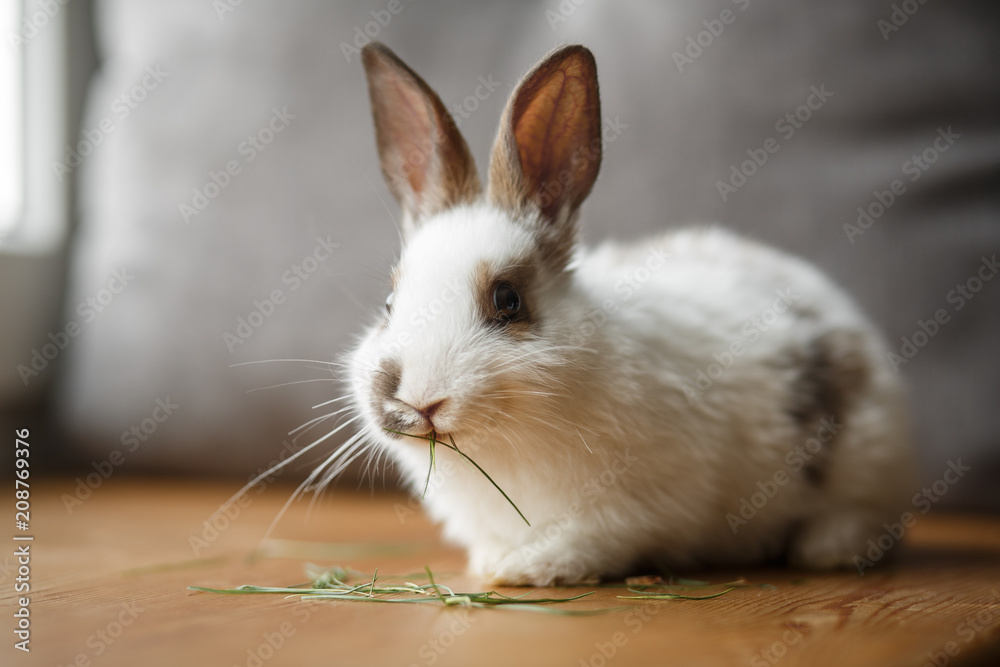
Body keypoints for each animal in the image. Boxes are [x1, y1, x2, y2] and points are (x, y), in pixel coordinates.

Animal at [348, 41, 916, 584]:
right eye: (389, 305)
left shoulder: (636, 508)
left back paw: (827, 550)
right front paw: (492, 561)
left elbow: (596, 540)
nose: (421, 401)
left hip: (867, 457)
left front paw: (528, 568)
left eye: (508, 300)